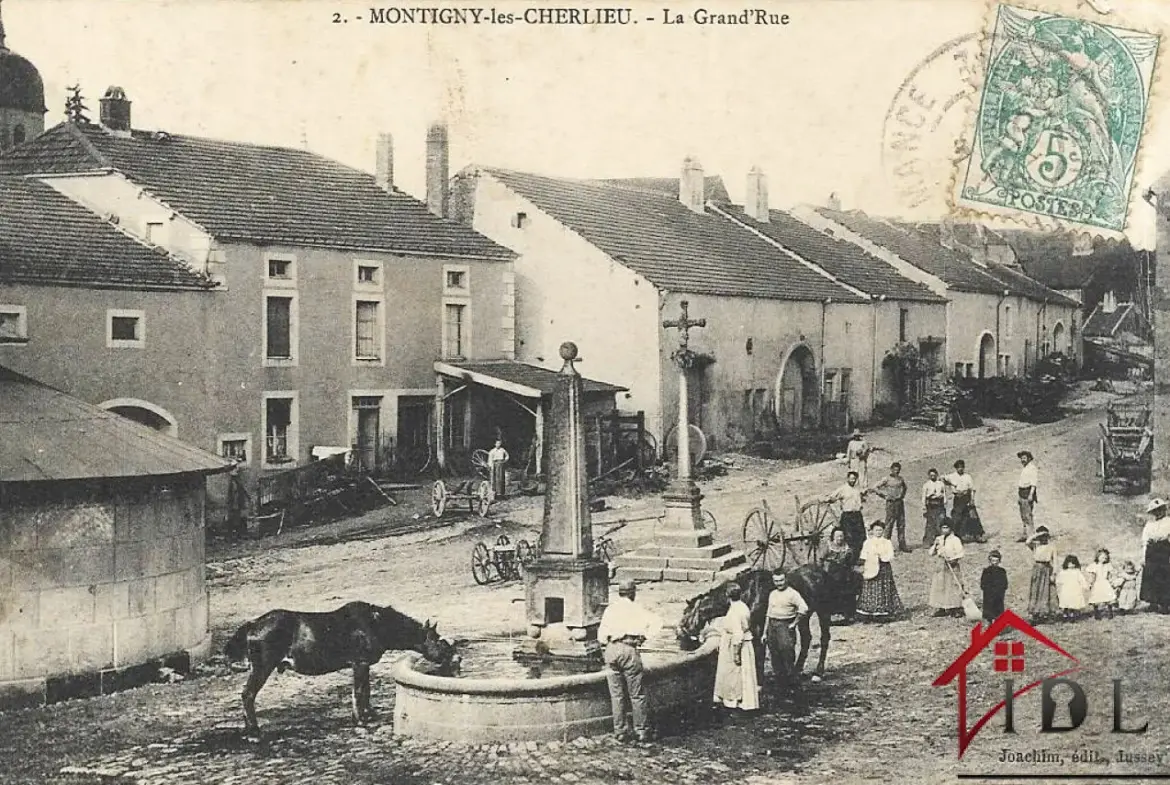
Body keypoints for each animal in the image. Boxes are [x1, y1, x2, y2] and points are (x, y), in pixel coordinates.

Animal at [221, 603, 458, 739]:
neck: (375, 623)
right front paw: (360, 721)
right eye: (438, 640)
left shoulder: (363, 665)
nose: (457, 658)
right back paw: (254, 731)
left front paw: (368, 715)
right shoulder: (359, 663)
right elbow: (359, 692)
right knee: (247, 695)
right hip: (262, 668)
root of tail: (251, 626)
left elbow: (365, 691)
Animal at [683, 566, 837, 687]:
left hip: (823, 612)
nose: (682, 636)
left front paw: (759, 680)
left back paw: (818, 673)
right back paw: (797, 670)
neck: (750, 591)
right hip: (805, 616)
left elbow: (760, 649)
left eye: (686, 613)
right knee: (806, 639)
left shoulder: (759, 624)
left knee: (824, 638)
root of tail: (822, 572)